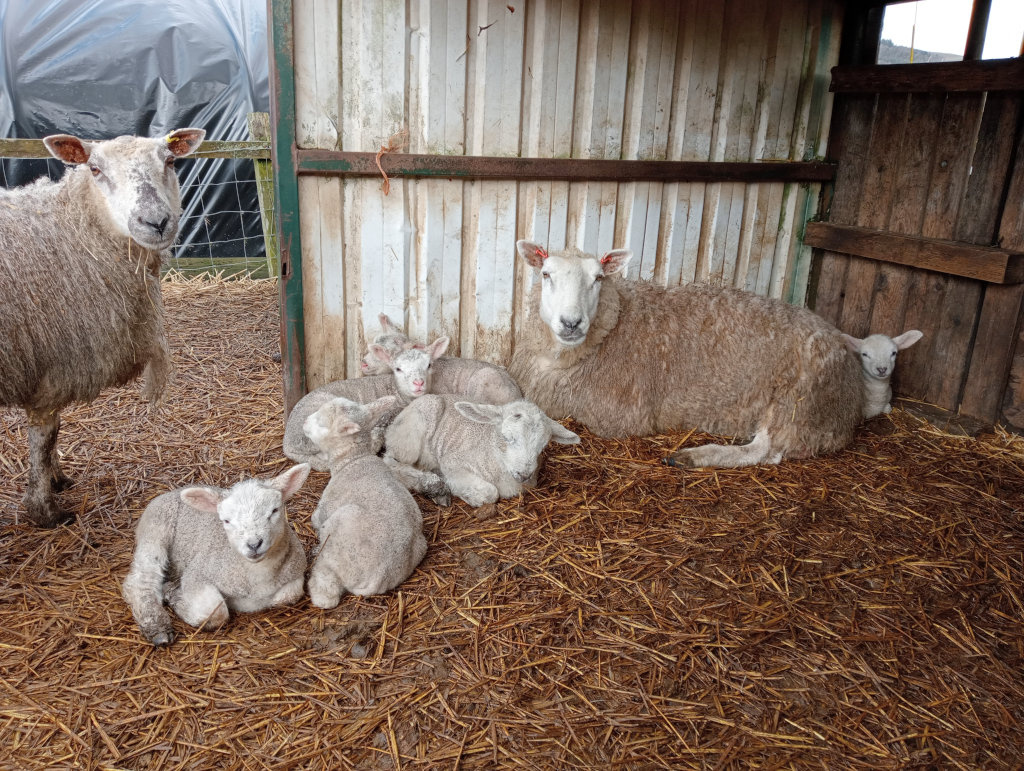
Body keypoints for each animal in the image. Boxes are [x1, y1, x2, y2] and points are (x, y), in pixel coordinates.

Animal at [0, 128, 206, 527]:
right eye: (94, 169)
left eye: (171, 161)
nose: (156, 222)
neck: (74, 227)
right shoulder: (56, 361)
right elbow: (45, 434)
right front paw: (45, 508)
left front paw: (56, 479)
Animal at [121, 464, 311, 646]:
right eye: (226, 521)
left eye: (274, 511)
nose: (254, 544)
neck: (258, 578)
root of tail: (172, 491)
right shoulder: (197, 573)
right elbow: (215, 612)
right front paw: (175, 597)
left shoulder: (297, 570)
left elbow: (289, 595)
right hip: (155, 529)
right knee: (141, 580)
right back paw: (157, 627)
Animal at [302, 396, 429, 608]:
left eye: (321, 422)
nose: (303, 424)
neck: (353, 459)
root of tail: (380, 576)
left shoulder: (325, 510)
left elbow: (314, 518)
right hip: (421, 545)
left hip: (339, 534)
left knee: (327, 588)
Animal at [383, 394, 580, 508]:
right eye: (507, 437)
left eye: (543, 446)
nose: (524, 474)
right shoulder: (452, 461)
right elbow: (491, 493)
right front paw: (468, 496)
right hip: (408, 437)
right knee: (391, 461)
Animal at [507, 240, 864, 469]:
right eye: (546, 274)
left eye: (598, 278)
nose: (571, 322)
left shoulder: (618, 419)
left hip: (797, 403)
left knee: (765, 451)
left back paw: (692, 456)